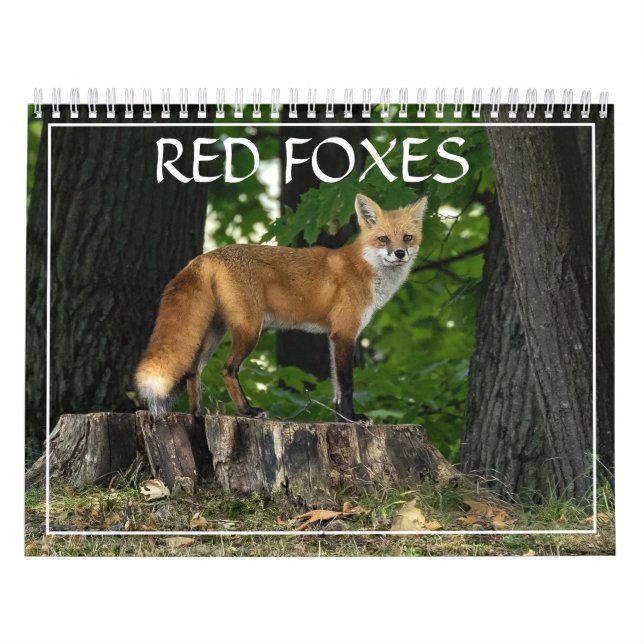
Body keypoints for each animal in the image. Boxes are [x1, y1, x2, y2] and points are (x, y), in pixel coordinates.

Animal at [135, 193, 427, 422]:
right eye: (383, 239)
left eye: (407, 238)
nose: (400, 253)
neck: (365, 269)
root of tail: (205, 256)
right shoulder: (345, 332)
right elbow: (347, 385)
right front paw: (353, 419)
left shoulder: (333, 337)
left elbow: (335, 387)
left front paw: (341, 420)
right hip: (249, 330)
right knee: (227, 370)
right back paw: (248, 411)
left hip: (215, 332)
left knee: (193, 371)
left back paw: (198, 414)